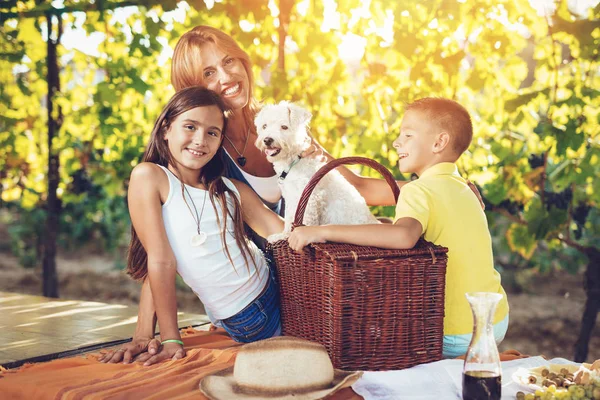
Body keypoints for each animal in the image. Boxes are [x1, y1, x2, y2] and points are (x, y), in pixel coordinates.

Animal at [254, 101, 380, 242]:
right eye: (264, 126)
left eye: (284, 127)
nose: (267, 140)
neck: (295, 160)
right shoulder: (291, 198)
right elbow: (288, 219)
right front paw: (283, 235)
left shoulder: (310, 199)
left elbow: (305, 222)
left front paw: (298, 236)